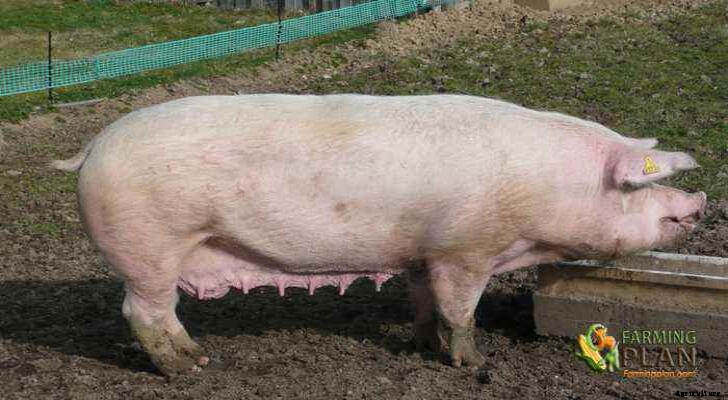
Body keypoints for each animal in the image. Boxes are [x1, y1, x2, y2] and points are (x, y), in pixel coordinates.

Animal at [52, 94, 706, 376]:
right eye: (635, 187)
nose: (698, 201)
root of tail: (91, 148)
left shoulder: (422, 253)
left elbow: (424, 303)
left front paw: (420, 346)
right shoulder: (465, 249)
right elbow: (461, 310)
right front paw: (473, 364)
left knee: (157, 312)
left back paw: (196, 358)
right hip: (149, 249)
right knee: (142, 312)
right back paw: (187, 370)